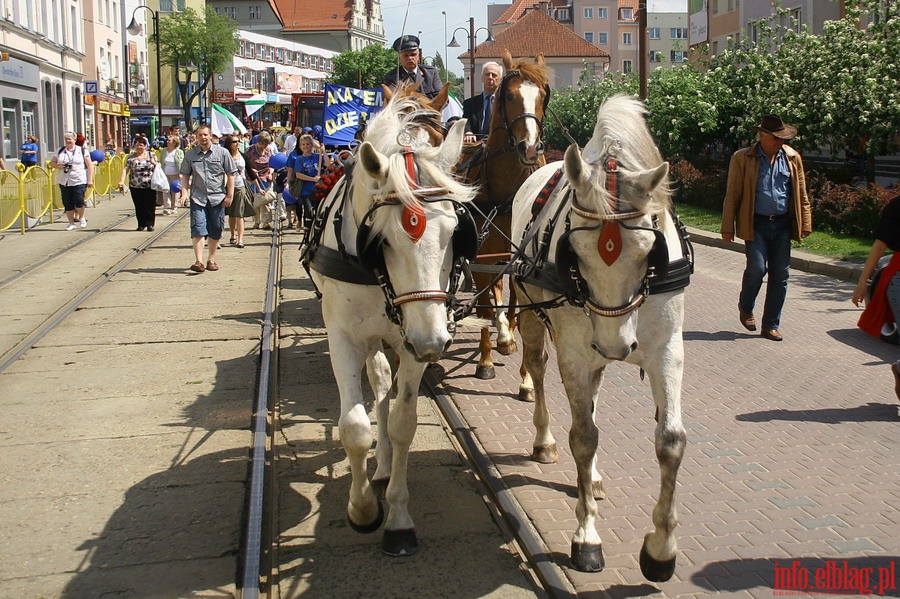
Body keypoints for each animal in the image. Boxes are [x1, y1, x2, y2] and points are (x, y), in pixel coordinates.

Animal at [306, 95, 478, 556]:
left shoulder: (412, 341)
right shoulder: (344, 337)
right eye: (380, 240)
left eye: (456, 232)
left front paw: (399, 520)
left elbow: (403, 424)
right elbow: (354, 427)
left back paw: (383, 467)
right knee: (378, 382)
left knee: (386, 387)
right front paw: (363, 509)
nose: (434, 343)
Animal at [454, 50, 552, 380]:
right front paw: (485, 360)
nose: (530, 148)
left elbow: (516, 310)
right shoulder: (479, 255)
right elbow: (485, 308)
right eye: (508, 96)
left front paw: (526, 377)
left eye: (543, 96)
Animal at [510, 94, 692, 580]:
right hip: (533, 318)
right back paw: (544, 440)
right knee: (541, 372)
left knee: (591, 398)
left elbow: (671, 442)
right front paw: (587, 535)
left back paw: (590, 476)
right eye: (576, 253)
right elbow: (583, 437)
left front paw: (661, 549)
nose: (615, 345)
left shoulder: (666, 350)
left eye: (649, 252)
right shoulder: (576, 350)